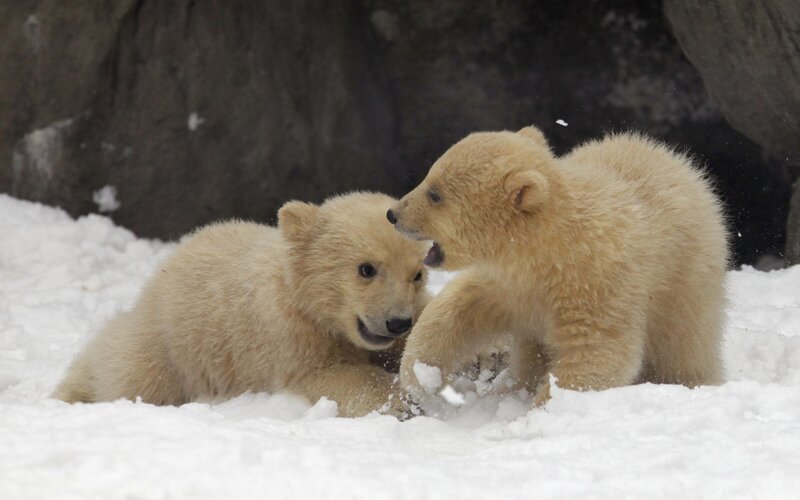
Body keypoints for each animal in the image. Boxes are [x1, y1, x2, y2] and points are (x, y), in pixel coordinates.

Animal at [54, 192, 431, 417]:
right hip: (168, 349)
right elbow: (327, 373)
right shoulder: (288, 332)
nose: (397, 322)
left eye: (417, 274)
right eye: (366, 268)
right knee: (130, 375)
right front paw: (401, 403)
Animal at [386, 126, 729, 406]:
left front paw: (542, 411)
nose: (393, 214)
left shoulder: (598, 282)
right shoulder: (509, 283)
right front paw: (419, 376)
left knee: (684, 349)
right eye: (429, 175)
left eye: (435, 194)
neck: (551, 252)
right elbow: (460, 307)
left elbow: (598, 352)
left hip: (685, 287)